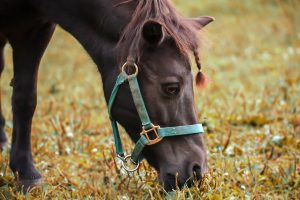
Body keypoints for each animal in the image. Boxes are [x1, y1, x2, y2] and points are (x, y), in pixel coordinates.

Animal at [1, 0, 214, 191]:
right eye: (171, 88)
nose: (196, 170)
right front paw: (27, 172)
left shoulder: (37, 30)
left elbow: (26, 97)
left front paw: (25, 172)